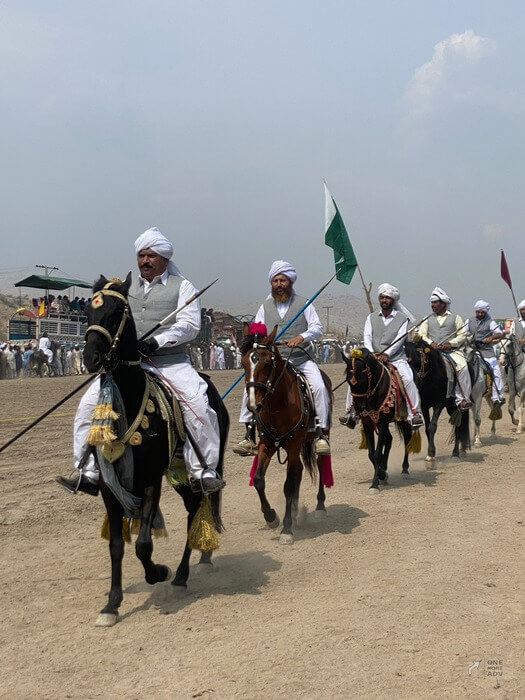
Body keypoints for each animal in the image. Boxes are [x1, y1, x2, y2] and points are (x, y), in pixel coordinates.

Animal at [83, 270, 228, 628]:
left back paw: (181, 577)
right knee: (193, 511)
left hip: (196, 471)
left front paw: (158, 573)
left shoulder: (150, 479)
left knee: (196, 510)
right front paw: (111, 605)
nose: (90, 358)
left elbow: (144, 544)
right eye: (88, 312)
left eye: (115, 313)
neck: (130, 398)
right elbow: (117, 545)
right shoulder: (109, 484)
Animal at [238, 320, 330, 544]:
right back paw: (295, 512)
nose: (254, 405)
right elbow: (259, 480)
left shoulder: (295, 444)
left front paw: (286, 529)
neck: (278, 404)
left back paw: (319, 507)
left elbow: (288, 486)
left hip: (318, 437)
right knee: (298, 473)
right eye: (243, 364)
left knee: (319, 466)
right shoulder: (267, 443)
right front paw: (271, 517)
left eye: (267, 363)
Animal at [340, 346, 418, 490]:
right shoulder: (368, 422)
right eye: (348, 381)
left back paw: (405, 469)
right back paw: (385, 467)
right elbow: (372, 454)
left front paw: (375, 483)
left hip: (404, 420)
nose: (359, 408)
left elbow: (376, 454)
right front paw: (381, 474)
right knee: (389, 440)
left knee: (407, 439)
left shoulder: (382, 421)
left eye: (363, 380)